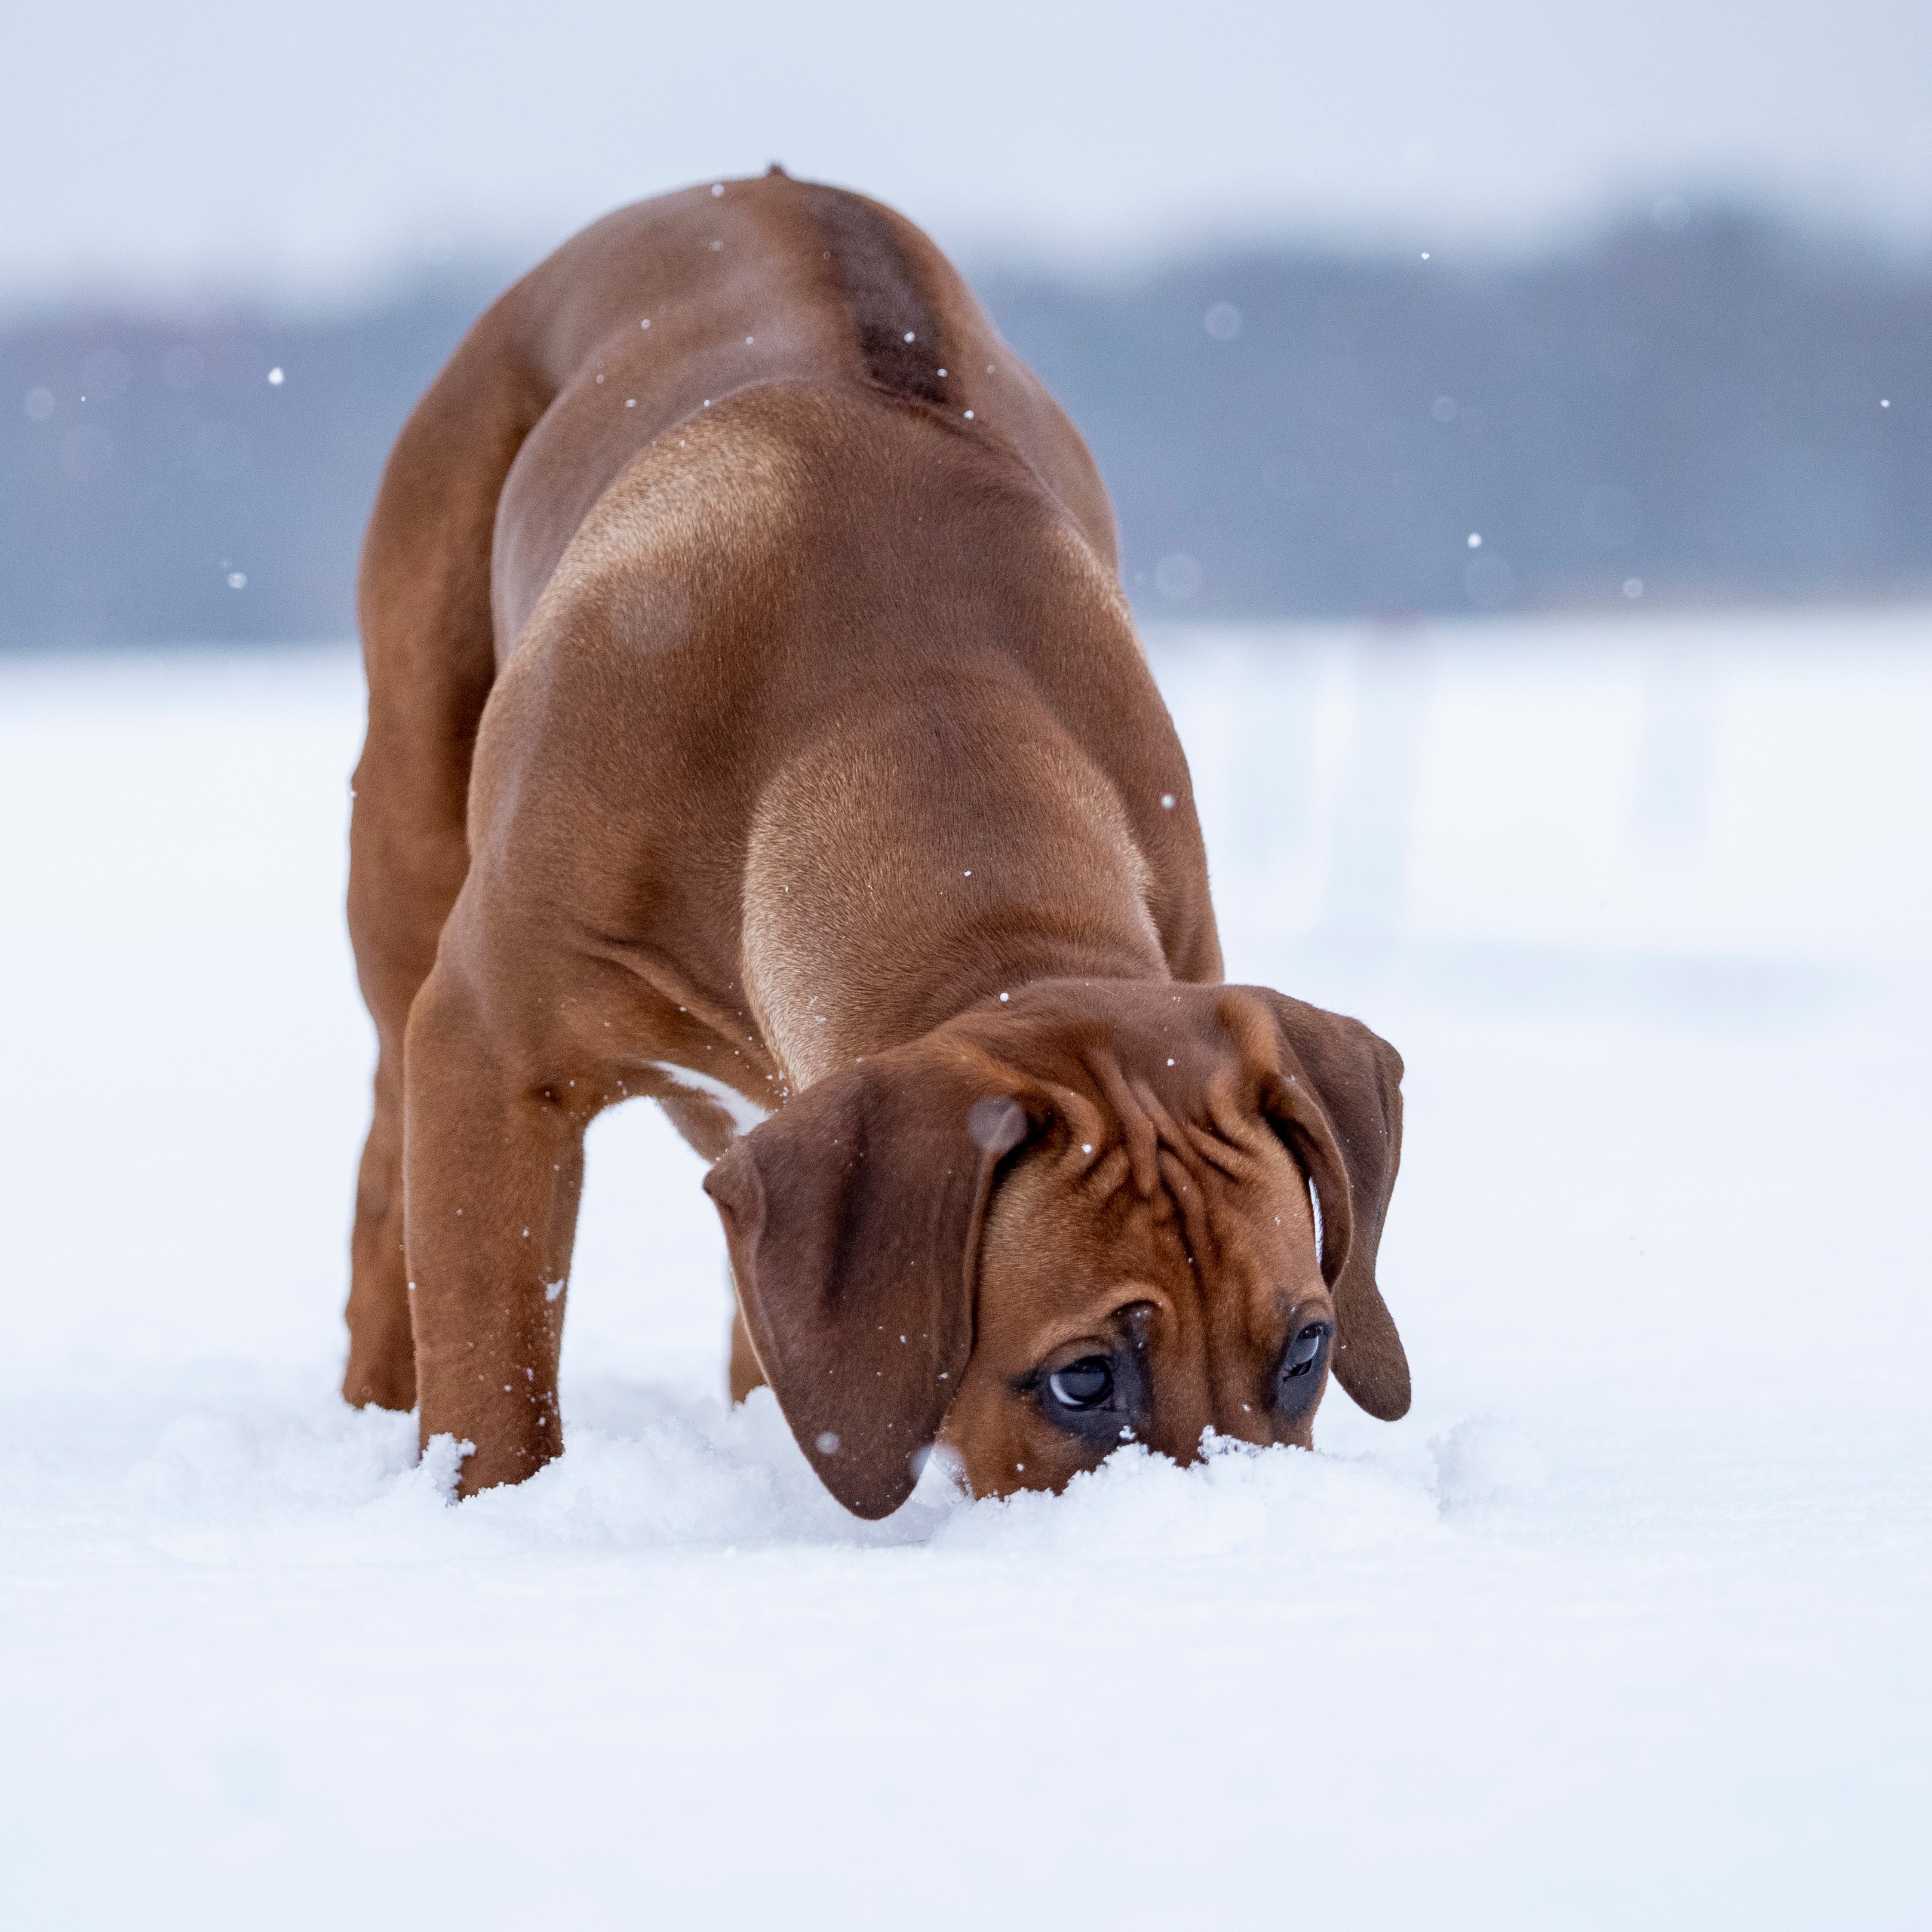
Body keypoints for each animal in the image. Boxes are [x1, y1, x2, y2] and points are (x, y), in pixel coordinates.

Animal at [343, 174, 1406, 1515]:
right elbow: (493, 1377)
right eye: (1083, 1379)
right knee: (386, 1171)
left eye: (1308, 1348)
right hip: (406, 841)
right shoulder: (490, 1050)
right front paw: (492, 1510)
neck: (911, 714)